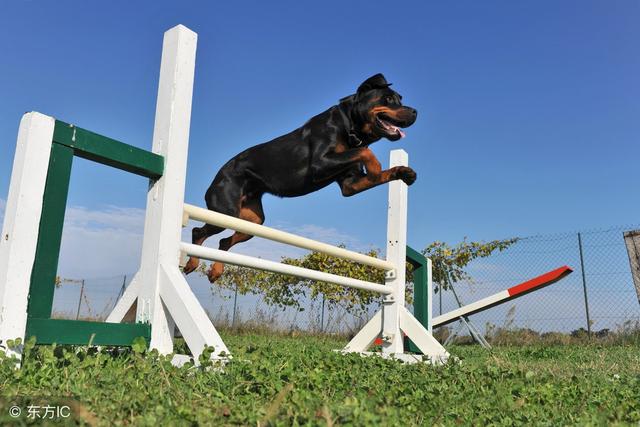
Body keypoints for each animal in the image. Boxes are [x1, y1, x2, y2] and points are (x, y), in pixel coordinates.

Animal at [182, 72, 418, 284]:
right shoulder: (320, 164)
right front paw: (376, 166)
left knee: (223, 242)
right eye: (388, 99)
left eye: (400, 99)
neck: (349, 125)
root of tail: (215, 179)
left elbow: (370, 167)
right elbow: (365, 153)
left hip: (252, 220)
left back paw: (215, 271)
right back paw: (192, 263)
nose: (415, 112)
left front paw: (403, 172)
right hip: (225, 211)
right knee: (197, 232)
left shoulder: (350, 184)